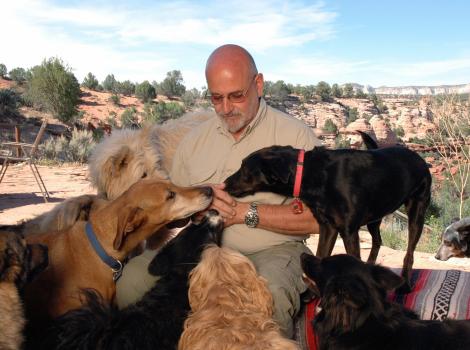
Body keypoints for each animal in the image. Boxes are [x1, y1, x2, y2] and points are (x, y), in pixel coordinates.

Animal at [226, 131, 432, 290]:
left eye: (244, 169)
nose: (224, 184)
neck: (311, 173)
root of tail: (419, 158)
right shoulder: (328, 227)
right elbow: (320, 255)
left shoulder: (349, 231)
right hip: (375, 217)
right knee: (378, 241)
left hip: (417, 212)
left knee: (409, 253)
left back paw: (405, 284)